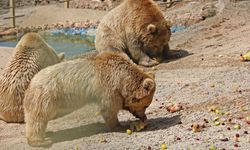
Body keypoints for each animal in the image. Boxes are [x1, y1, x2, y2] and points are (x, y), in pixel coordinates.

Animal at [23, 51, 156, 146]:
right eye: (146, 105)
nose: (143, 117)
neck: (122, 78)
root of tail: (31, 83)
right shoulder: (108, 87)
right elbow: (109, 108)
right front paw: (119, 125)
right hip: (45, 97)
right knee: (37, 119)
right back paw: (40, 141)